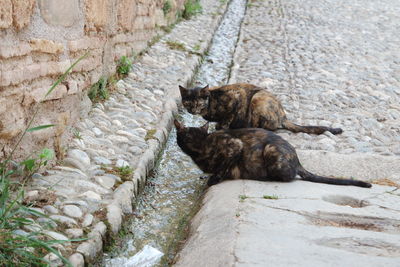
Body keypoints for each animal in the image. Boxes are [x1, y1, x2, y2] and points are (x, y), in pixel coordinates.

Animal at [175, 119, 372, 188]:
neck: (202, 146)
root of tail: (298, 160)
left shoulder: (234, 145)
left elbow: (224, 166)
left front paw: (213, 179)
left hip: (271, 151)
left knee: (289, 177)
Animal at [180, 82, 342, 135]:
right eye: (187, 103)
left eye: (198, 103)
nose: (191, 111)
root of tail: (283, 115)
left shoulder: (236, 97)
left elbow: (228, 117)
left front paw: (221, 128)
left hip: (257, 99)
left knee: (269, 127)